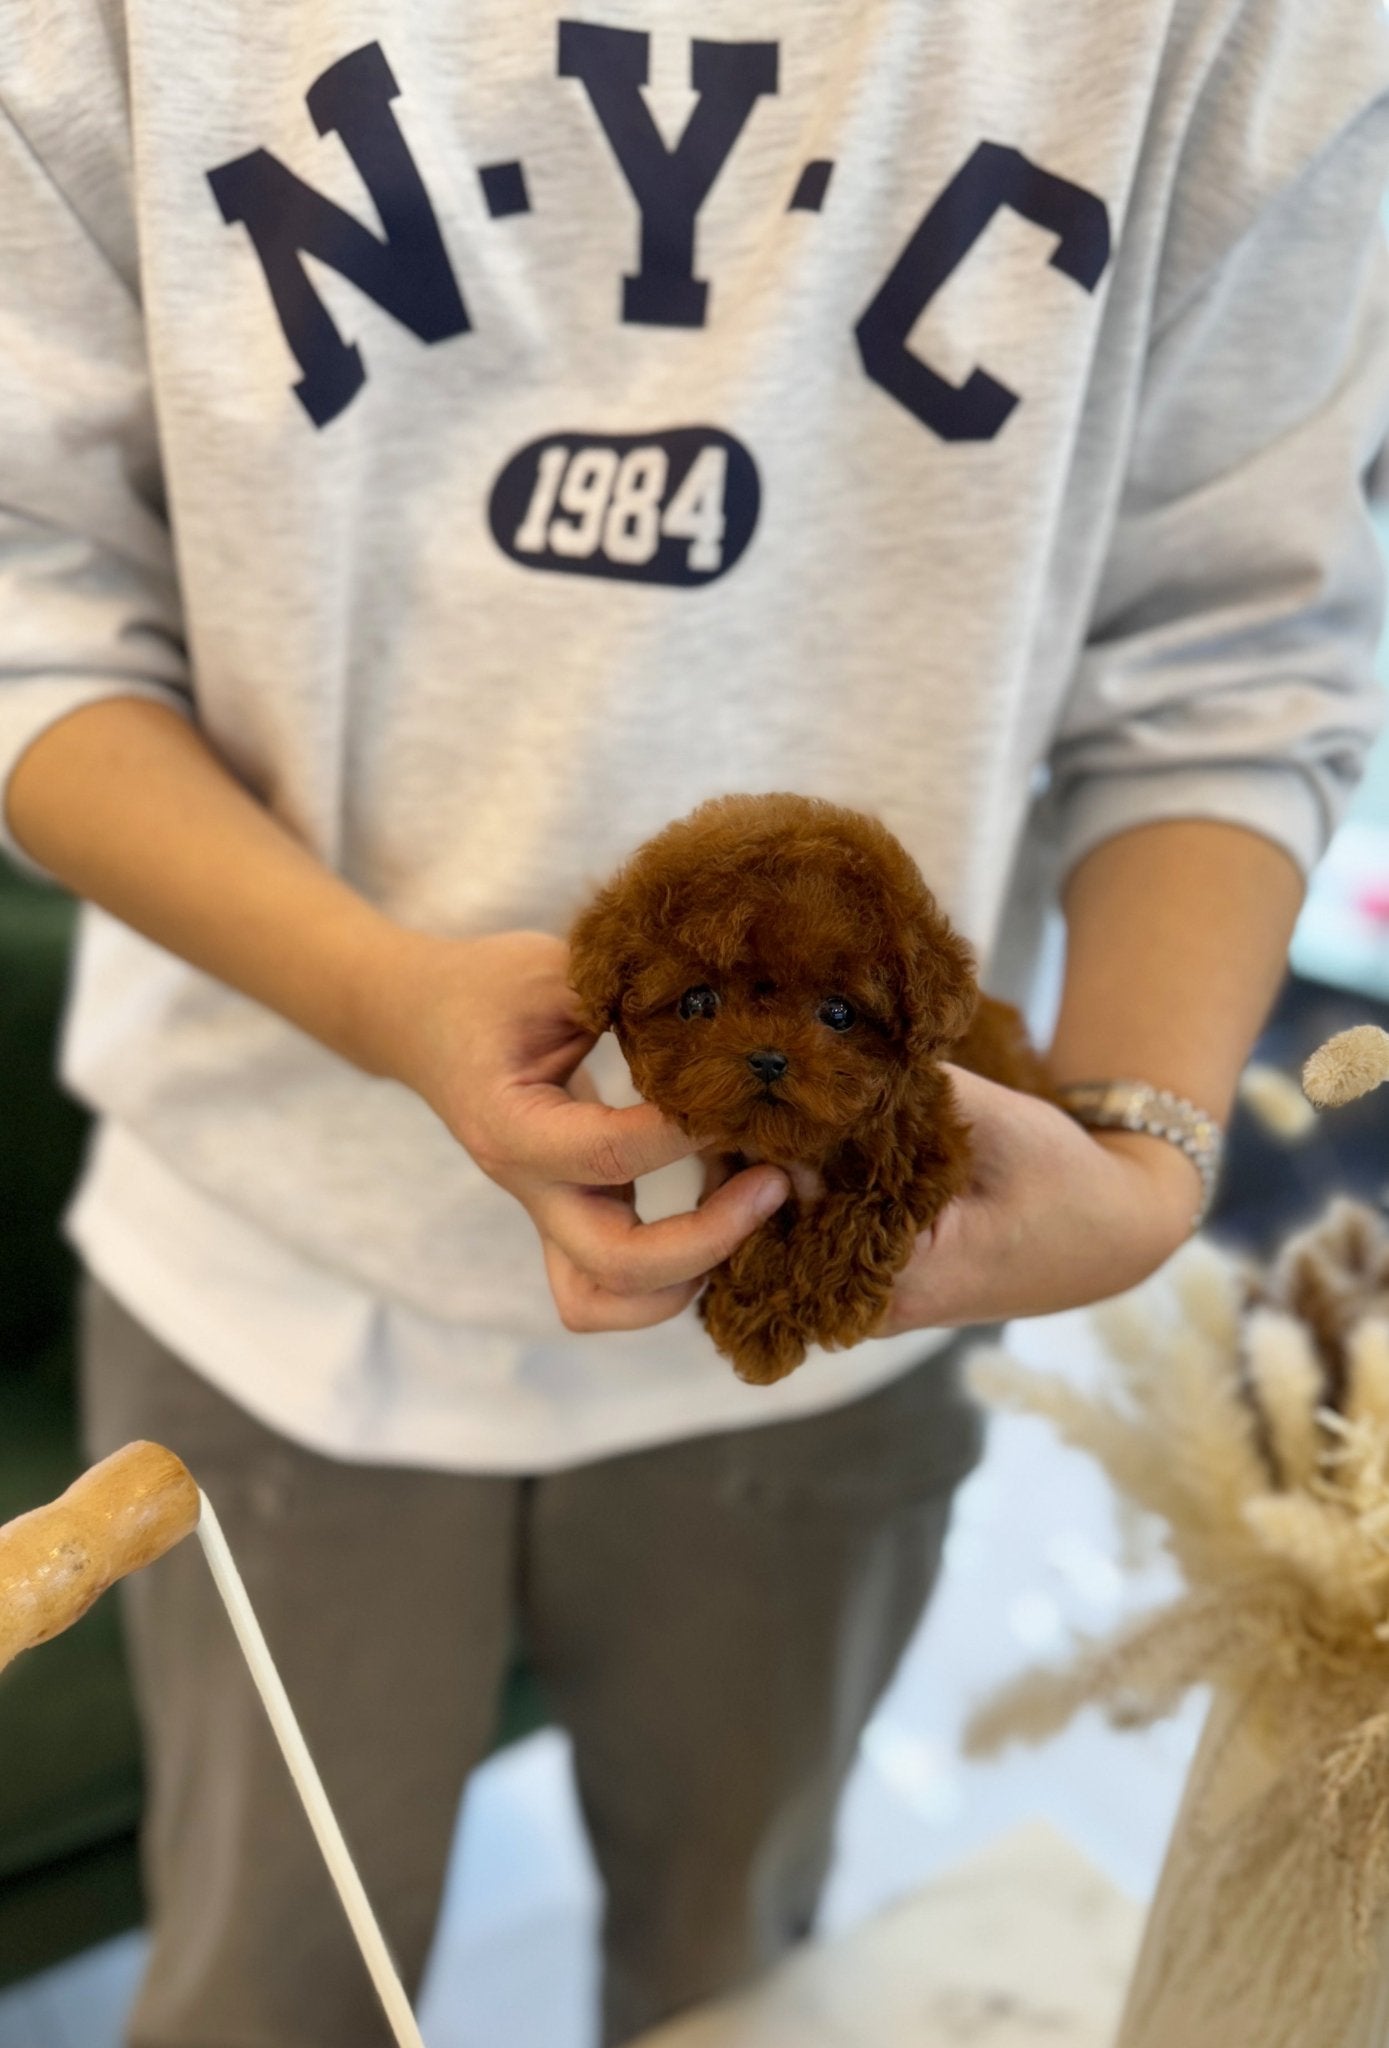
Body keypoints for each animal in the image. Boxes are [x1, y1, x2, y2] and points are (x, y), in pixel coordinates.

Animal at [565, 790, 1057, 1384]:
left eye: (840, 1012)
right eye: (697, 1001)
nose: (768, 1059)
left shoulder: (929, 1139)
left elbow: (873, 1201)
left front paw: (827, 1295)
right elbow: (757, 1219)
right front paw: (755, 1316)